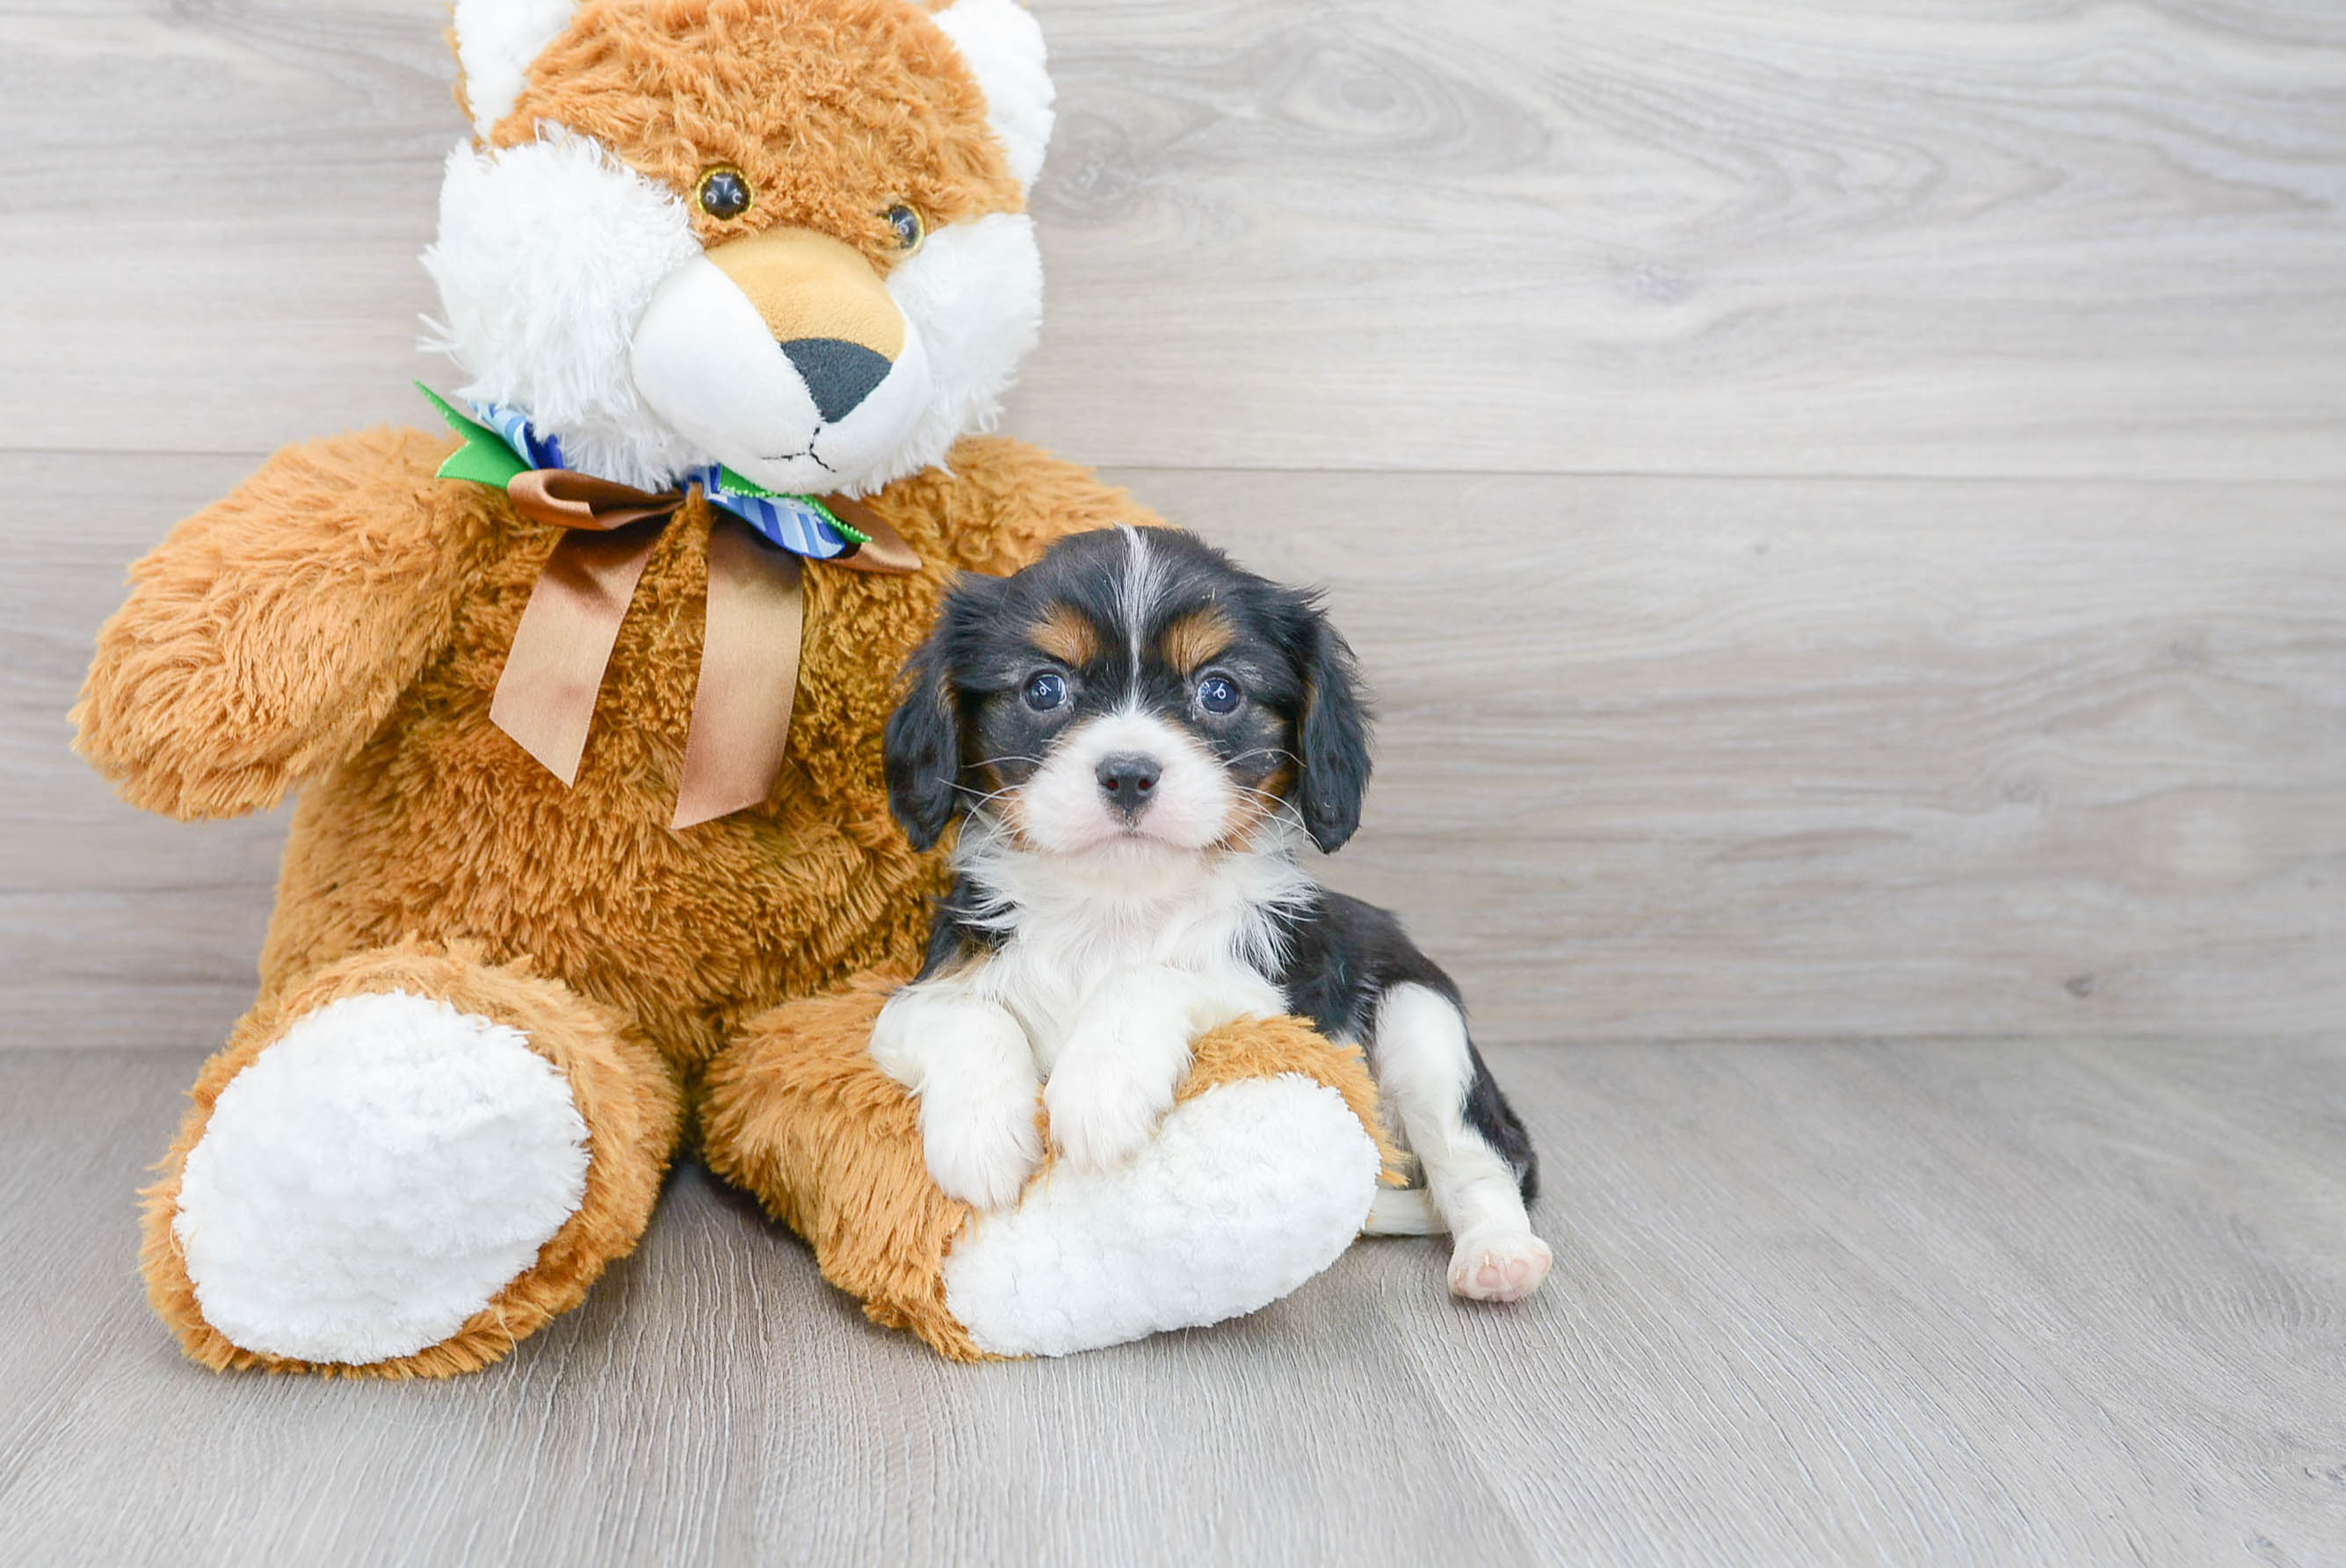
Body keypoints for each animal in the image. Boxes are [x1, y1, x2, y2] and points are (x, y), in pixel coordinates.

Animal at [873, 523, 1548, 1293]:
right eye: (1044, 688)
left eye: (1219, 691)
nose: (1128, 773)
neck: (1115, 905)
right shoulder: (915, 995)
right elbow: (967, 1016)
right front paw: (980, 1133)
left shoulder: (1279, 1005)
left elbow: (1153, 976)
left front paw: (1099, 1086)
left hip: (1421, 1018)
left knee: (1482, 1161)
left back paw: (1500, 1255)